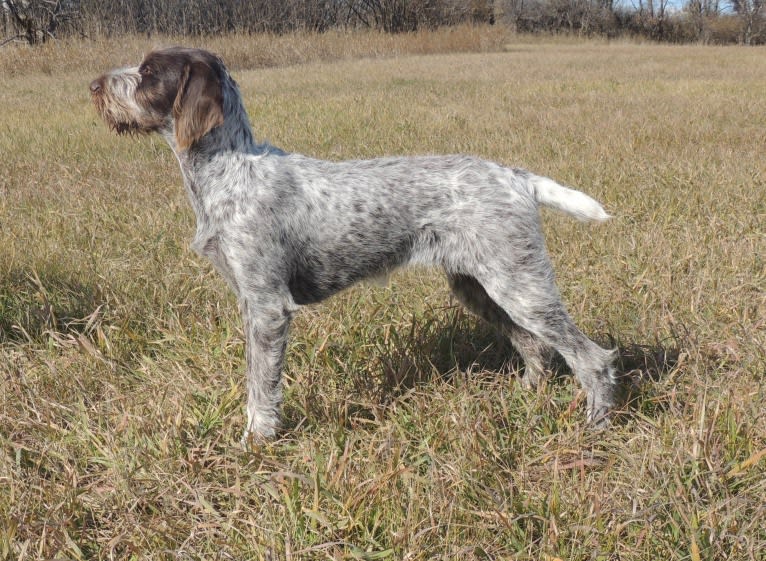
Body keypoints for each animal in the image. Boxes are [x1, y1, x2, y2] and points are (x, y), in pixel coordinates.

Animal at [90, 47, 620, 442]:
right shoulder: (248, 300)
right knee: (535, 345)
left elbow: (261, 385)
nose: (93, 86)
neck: (230, 170)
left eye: (148, 73)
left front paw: (256, 441)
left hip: (518, 284)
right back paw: (526, 396)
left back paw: (595, 425)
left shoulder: (267, 306)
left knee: (590, 357)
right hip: (479, 286)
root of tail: (515, 176)